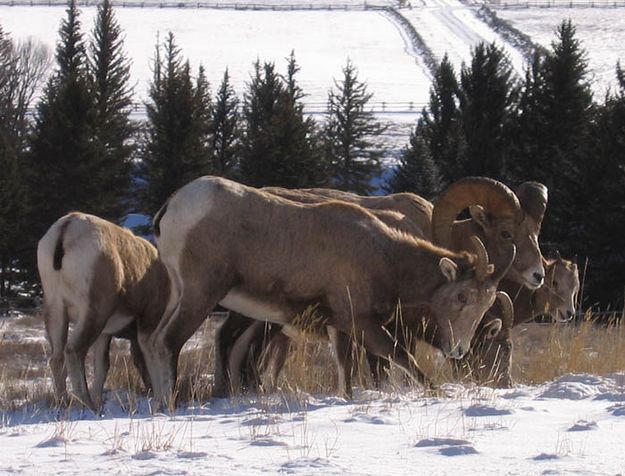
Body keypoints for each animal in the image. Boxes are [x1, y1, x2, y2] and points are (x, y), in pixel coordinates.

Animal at [37, 212, 167, 410]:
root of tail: (67, 228)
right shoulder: (147, 319)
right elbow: (149, 353)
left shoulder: (104, 334)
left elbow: (102, 365)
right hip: (93, 313)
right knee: (73, 351)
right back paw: (87, 405)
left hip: (56, 310)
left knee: (57, 358)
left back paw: (64, 404)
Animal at [145, 176, 512, 406]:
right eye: (462, 296)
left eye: (484, 304)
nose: (459, 350)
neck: (384, 255)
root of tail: (173, 207)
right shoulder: (362, 323)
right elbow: (400, 358)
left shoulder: (340, 328)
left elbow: (346, 371)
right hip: (201, 295)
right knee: (168, 343)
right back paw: (169, 404)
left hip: (183, 295)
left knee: (155, 341)